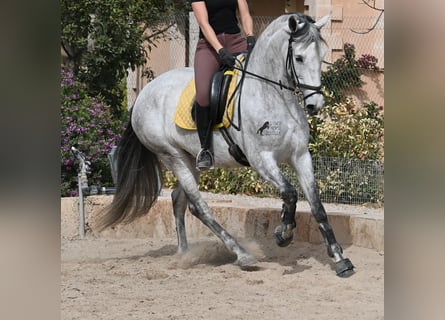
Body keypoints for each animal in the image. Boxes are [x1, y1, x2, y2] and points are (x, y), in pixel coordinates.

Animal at [99, 13, 354, 278]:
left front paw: (340, 259)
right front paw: (283, 233)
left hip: (191, 160)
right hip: (172, 156)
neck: (273, 96)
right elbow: (290, 193)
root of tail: (143, 94)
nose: (315, 105)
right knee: (198, 206)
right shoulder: (262, 159)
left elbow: (317, 206)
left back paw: (185, 254)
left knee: (179, 200)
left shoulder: (301, 156)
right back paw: (242, 254)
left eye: (321, 57)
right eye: (299, 58)